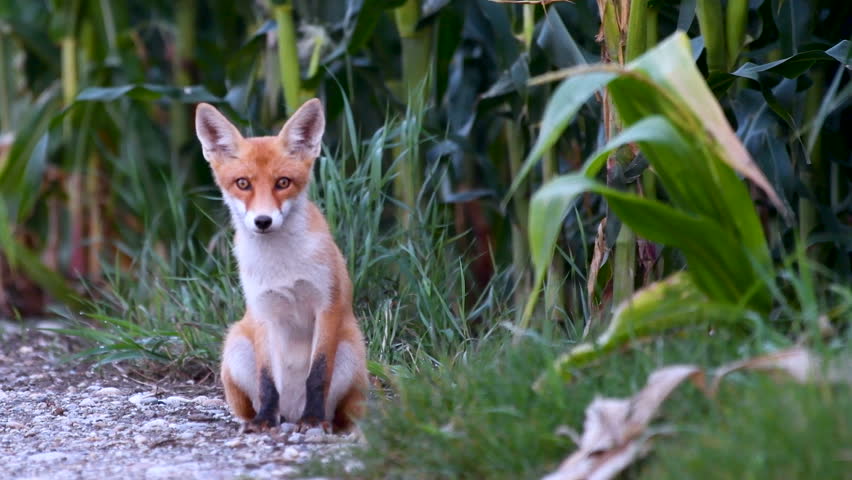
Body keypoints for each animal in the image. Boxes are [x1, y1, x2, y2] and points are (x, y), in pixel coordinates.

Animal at [194, 99, 368, 433]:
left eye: (283, 183)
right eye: (243, 184)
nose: (263, 221)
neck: (282, 265)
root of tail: (291, 410)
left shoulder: (327, 305)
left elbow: (317, 375)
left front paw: (313, 419)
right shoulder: (264, 312)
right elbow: (267, 381)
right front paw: (263, 420)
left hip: (351, 351)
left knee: (341, 412)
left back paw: (324, 421)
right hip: (236, 347)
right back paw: (269, 417)